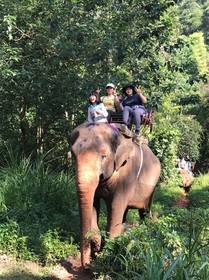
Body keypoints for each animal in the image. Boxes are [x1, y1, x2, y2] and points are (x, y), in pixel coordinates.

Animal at [69, 122, 161, 266]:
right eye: (73, 154)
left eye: (103, 156)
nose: (86, 266)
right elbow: (94, 205)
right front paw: (97, 244)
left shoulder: (126, 175)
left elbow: (115, 206)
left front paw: (107, 252)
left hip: (152, 187)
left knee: (144, 211)